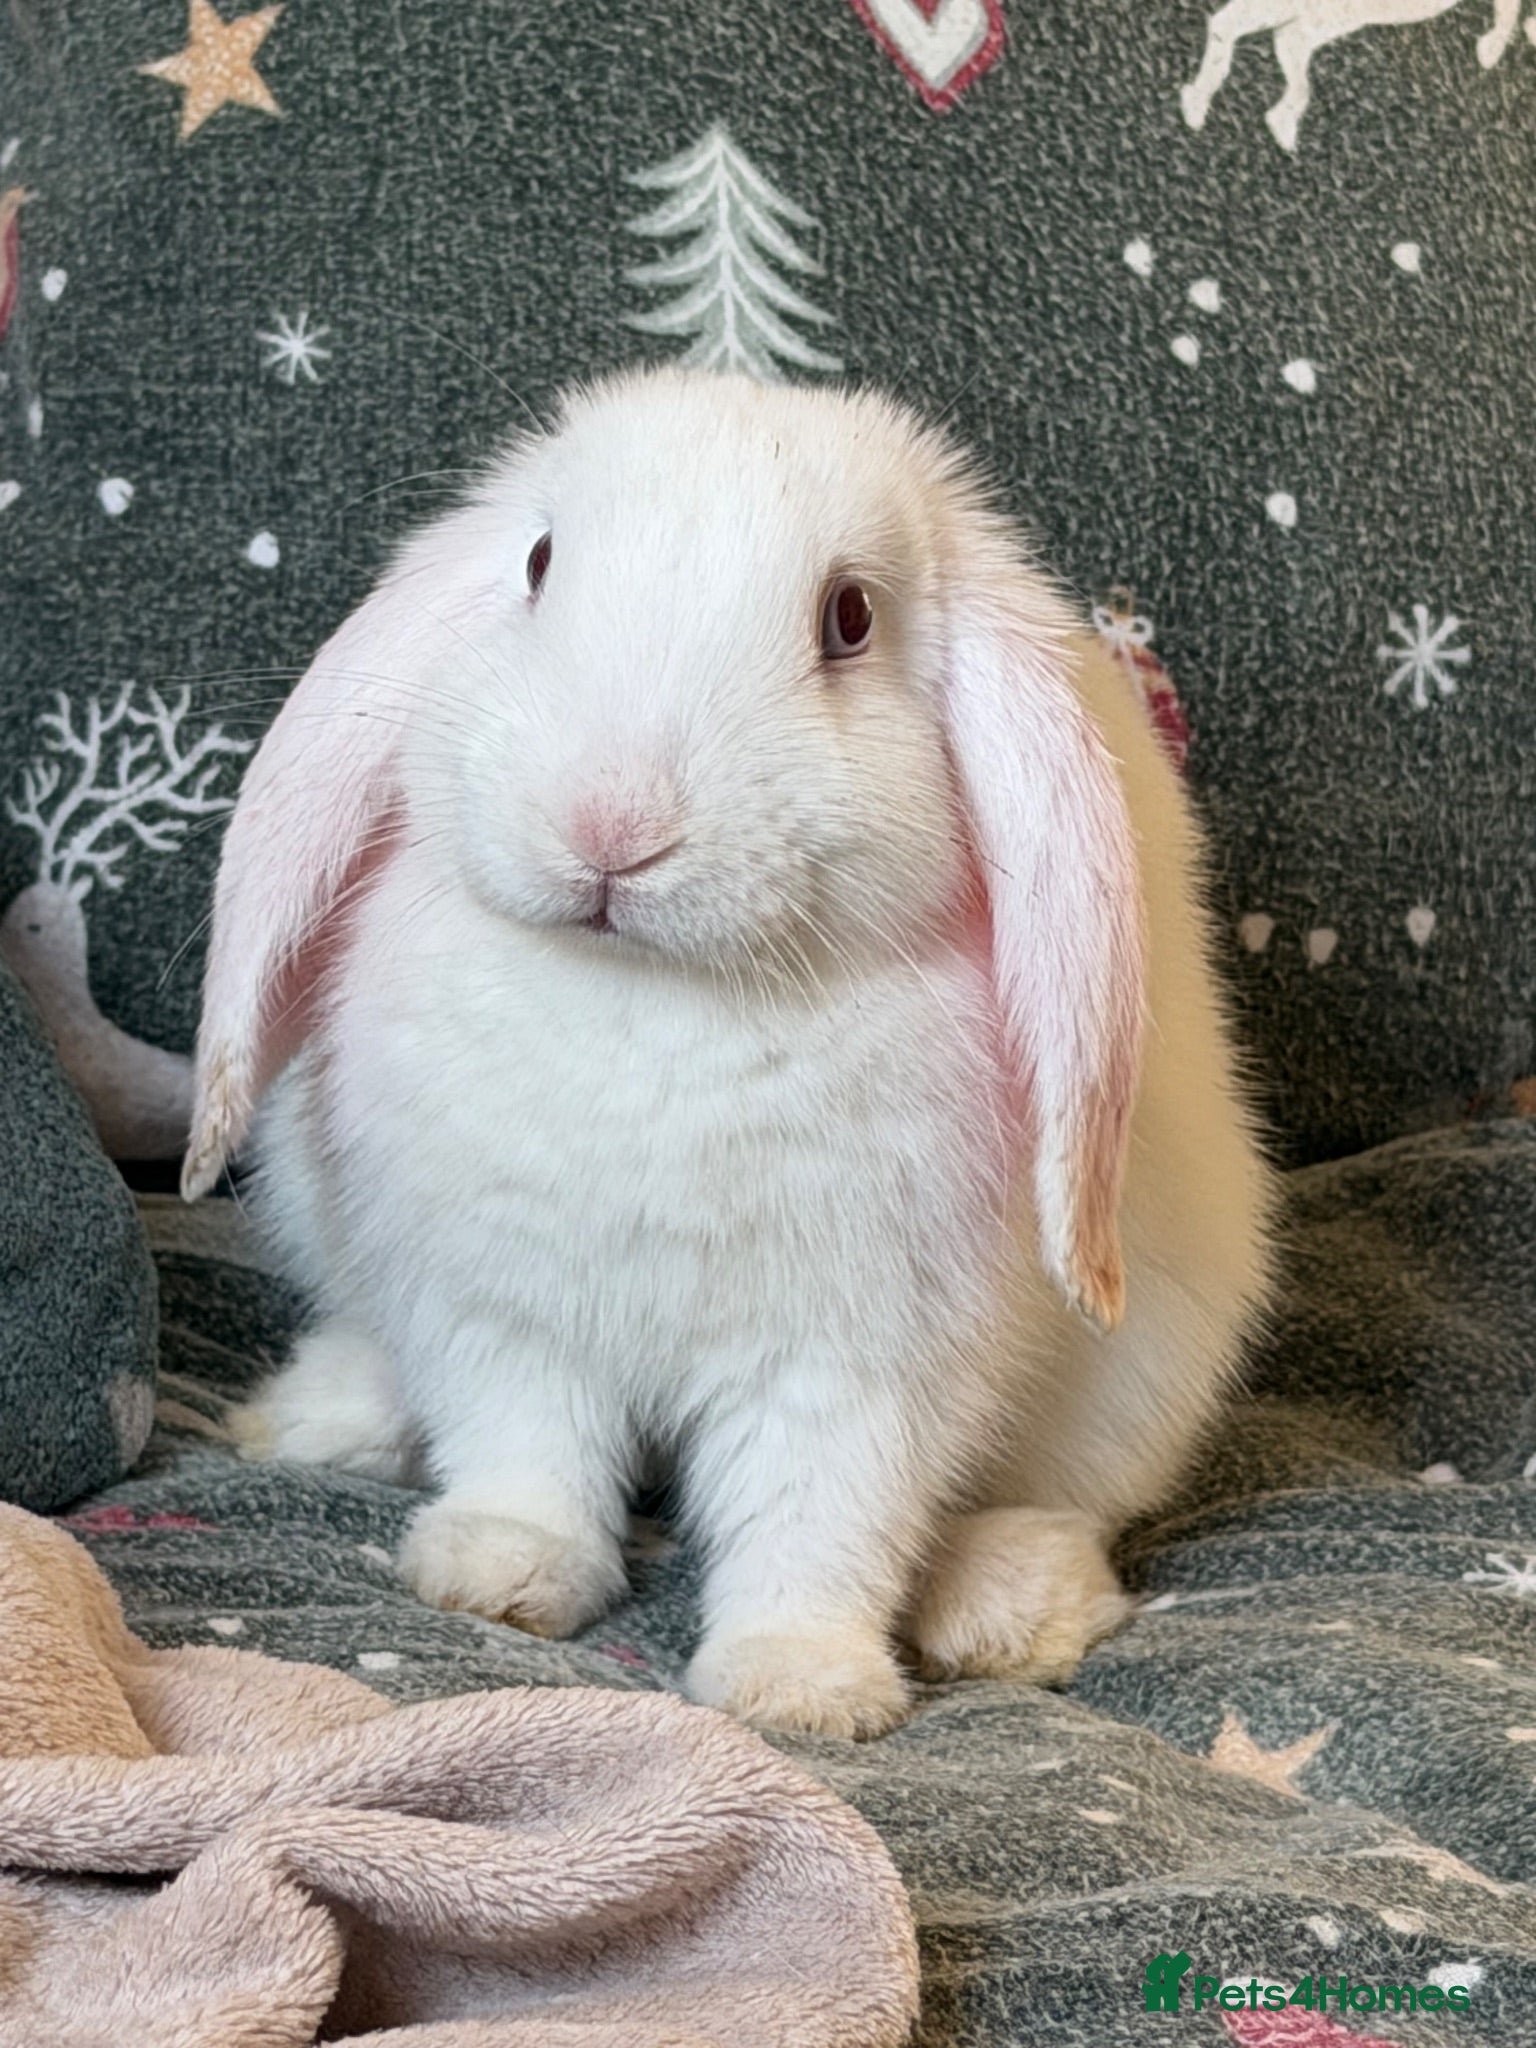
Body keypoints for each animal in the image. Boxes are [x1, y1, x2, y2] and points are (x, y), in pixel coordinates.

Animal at [183, 366, 1276, 1739]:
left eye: (850, 617)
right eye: (539, 562)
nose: (612, 822)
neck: (654, 1000)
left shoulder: (852, 1365)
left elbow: (818, 1519)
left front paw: (799, 1686)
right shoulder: (508, 1310)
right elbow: (525, 1447)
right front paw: (498, 1572)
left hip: (1145, 1373)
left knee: (1062, 1502)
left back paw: (1005, 1604)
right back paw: (321, 1417)